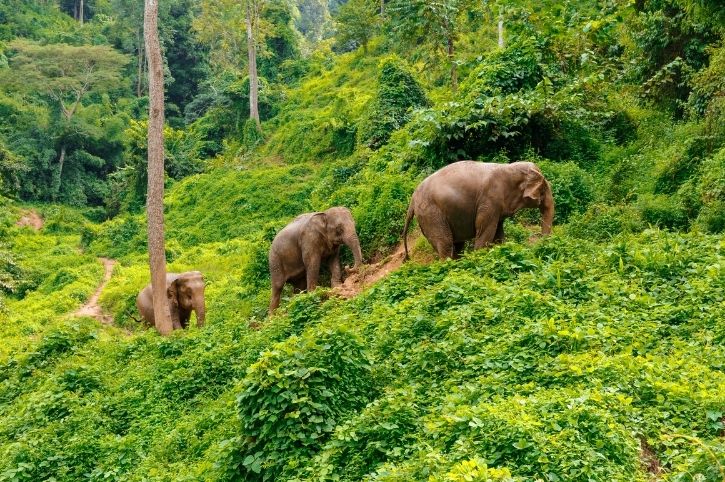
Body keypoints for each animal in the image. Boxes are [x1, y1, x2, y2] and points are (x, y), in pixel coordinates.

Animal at [402, 161, 555, 260]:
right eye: (543, 190)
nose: (539, 246)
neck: (510, 168)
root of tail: (412, 200)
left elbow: (498, 231)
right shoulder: (489, 200)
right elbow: (485, 229)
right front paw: (479, 258)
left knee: (456, 245)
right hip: (431, 214)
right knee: (445, 243)